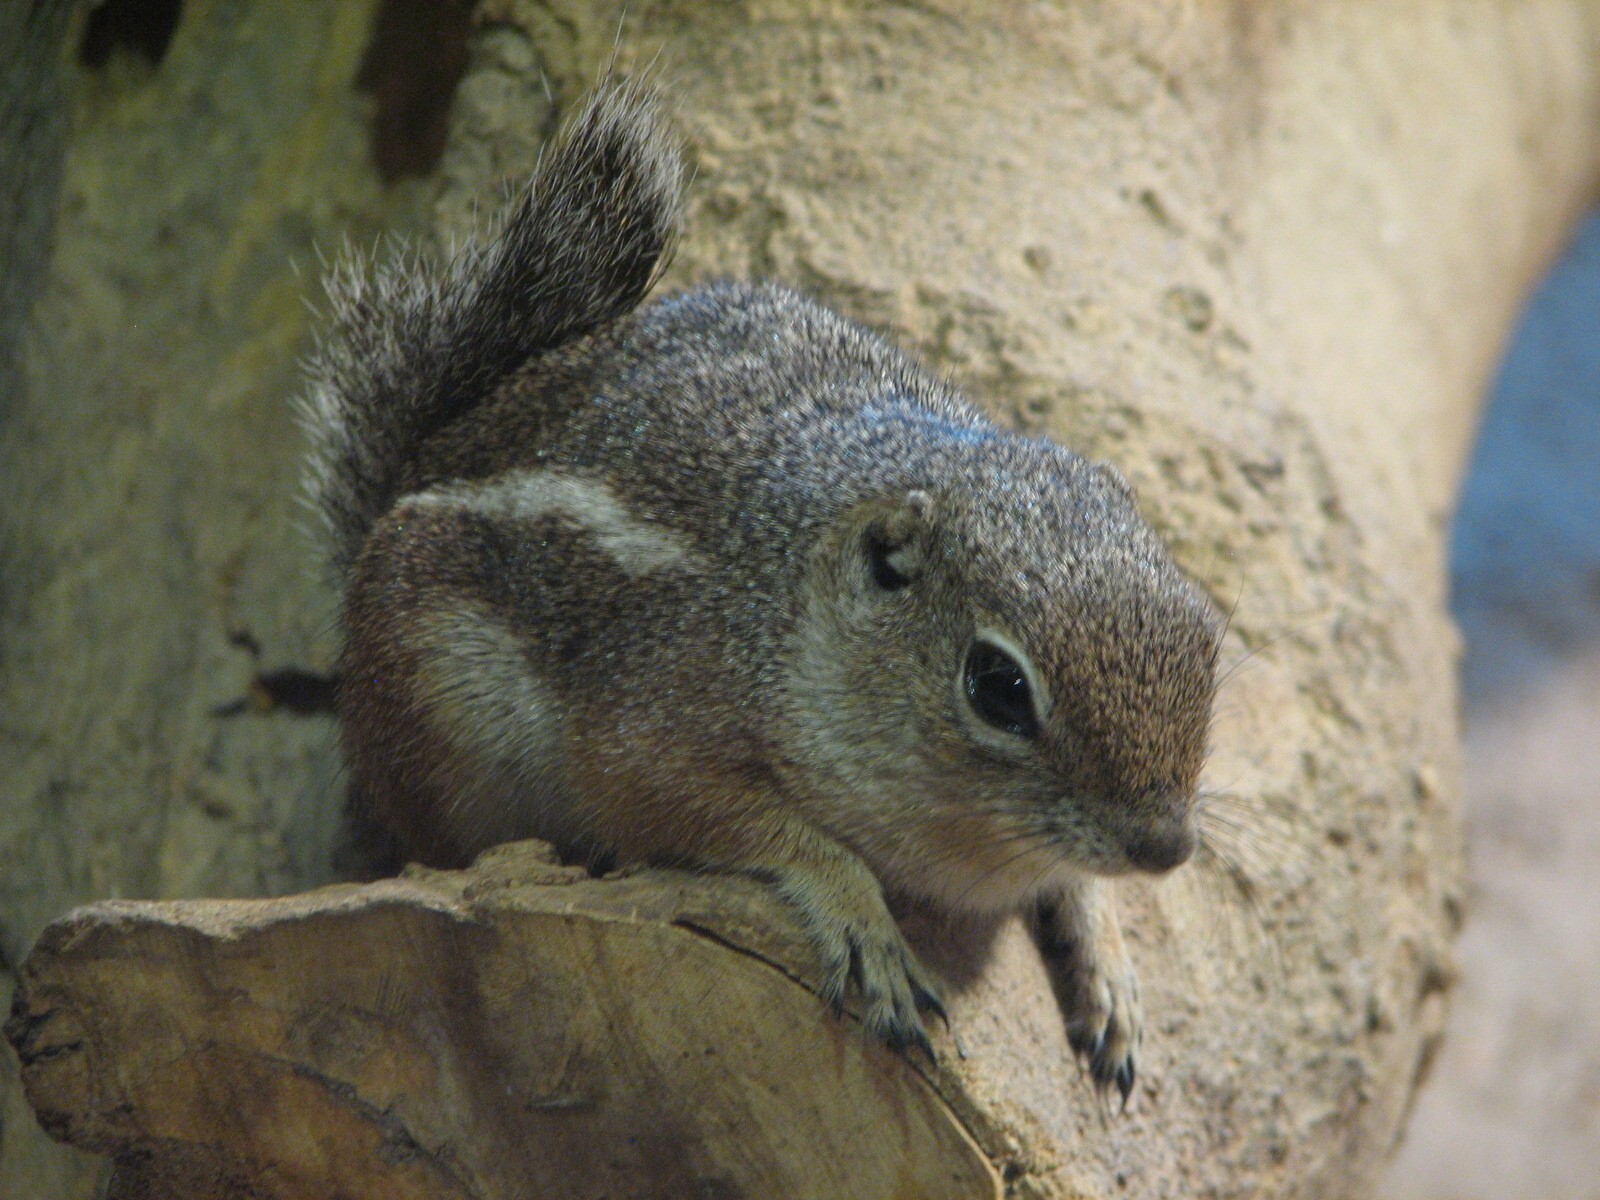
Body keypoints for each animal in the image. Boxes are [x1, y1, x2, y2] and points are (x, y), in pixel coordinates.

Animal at [300, 78, 1220, 1105]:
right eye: (998, 688)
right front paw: (867, 928)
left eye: (1205, 630)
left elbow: (1072, 884)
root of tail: (404, 483)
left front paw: (1111, 969)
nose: (1166, 847)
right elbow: (743, 825)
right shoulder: (653, 730)